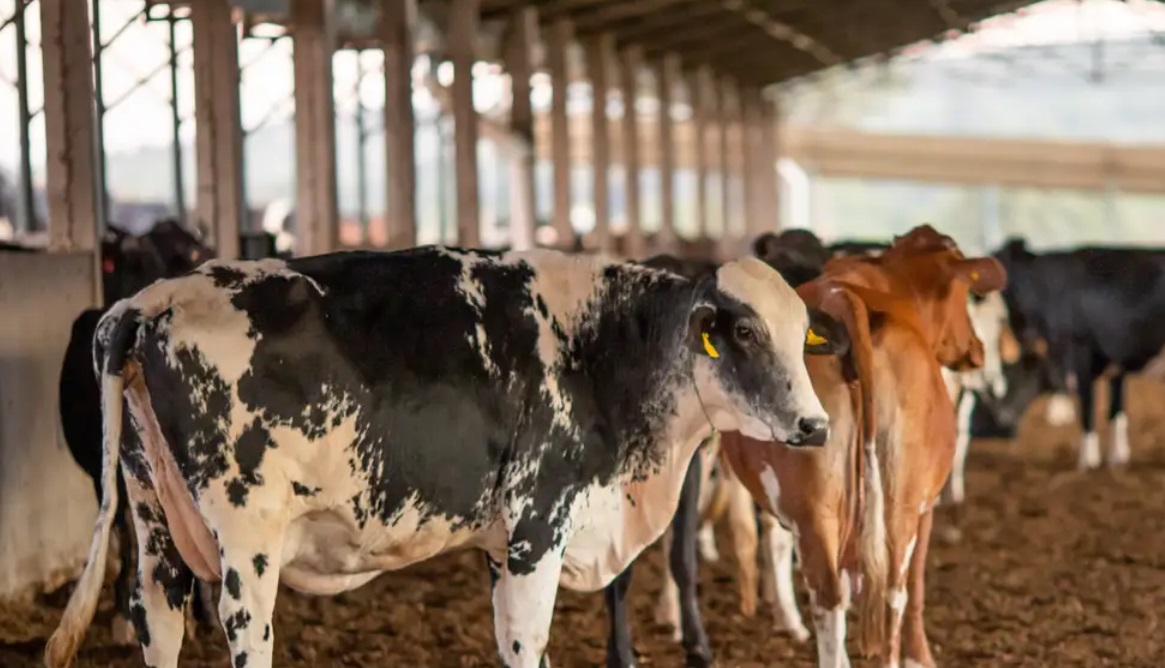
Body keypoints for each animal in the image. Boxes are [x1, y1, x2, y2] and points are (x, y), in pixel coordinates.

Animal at [50, 245, 843, 666]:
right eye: (744, 333)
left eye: (800, 331)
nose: (815, 425)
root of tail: (151, 298)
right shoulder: (535, 529)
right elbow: (526, 643)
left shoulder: (501, 543)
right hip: (247, 548)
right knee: (247, 633)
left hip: (154, 526)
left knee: (158, 619)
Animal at [712, 224, 1006, 666]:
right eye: (962, 295)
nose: (976, 349)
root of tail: (843, 300)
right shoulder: (926, 506)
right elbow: (917, 584)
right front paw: (921, 655)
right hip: (897, 504)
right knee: (885, 595)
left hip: (815, 508)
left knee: (841, 595)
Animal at [987, 237, 1165, 468]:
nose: (1000, 415)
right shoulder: (1115, 361)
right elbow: (1116, 409)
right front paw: (1117, 459)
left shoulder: (1081, 349)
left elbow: (1087, 405)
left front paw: (1087, 462)